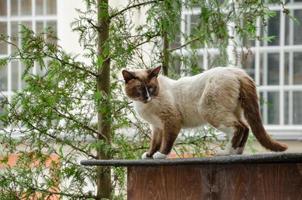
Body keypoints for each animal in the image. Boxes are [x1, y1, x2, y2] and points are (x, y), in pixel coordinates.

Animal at [122, 67, 288, 159]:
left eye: (150, 88)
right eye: (139, 89)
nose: (147, 97)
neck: (144, 105)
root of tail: (236, 71)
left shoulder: (170, 121)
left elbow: (166, 142)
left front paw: (160, 155)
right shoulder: (157, 127)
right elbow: (154, 143)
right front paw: (149, 155)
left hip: (210, 111)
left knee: (238, 128)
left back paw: (226, 153)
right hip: (231, 111)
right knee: (246, 127)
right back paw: (236, 152)